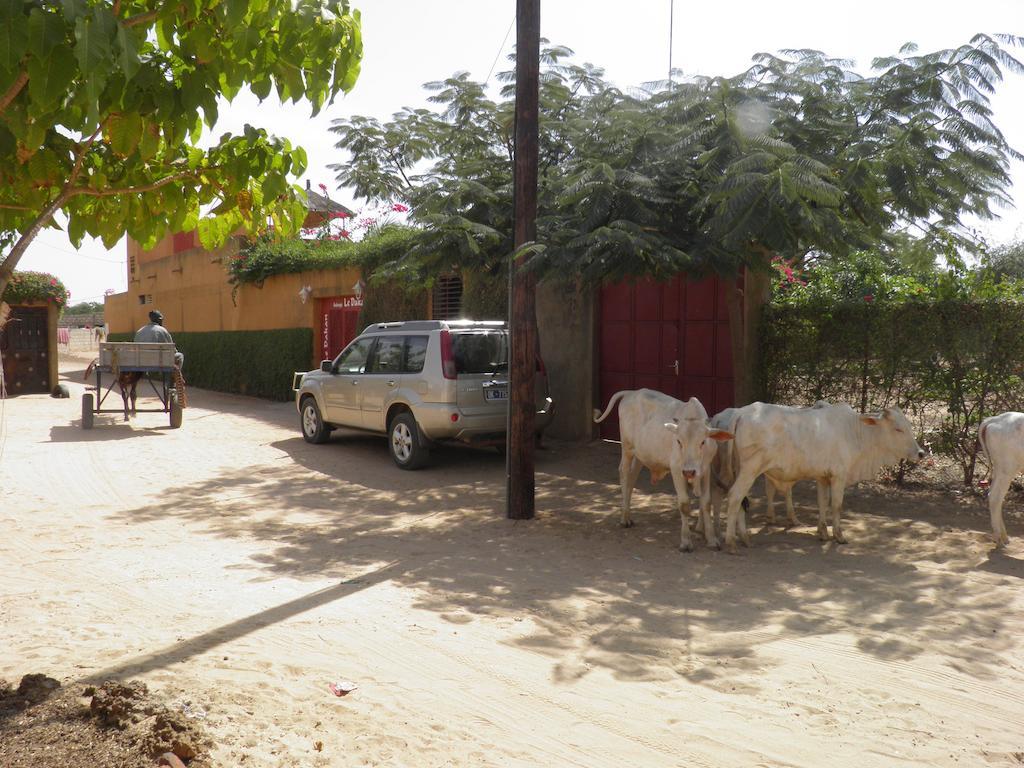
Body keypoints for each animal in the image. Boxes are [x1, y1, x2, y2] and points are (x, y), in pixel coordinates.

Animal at [593, 393, 737, 548]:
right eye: (679, 441)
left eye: (703, 442)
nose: (689, 472)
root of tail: (631, 393)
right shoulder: (677, 470)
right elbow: (684, 505)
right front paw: (686, 541)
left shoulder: (705, 470)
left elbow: (706, 503)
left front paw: (712, 539)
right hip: (627, 448)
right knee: (624, 474)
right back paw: (624, 518)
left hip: (640, 455)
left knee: (631, 479)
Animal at [716, 403, 925, 552]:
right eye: (898, 429)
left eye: (908, 426)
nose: (921, 453)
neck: (855, 433)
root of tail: (741, 412)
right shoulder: (839, 476)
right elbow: (836, 505)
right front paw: (839, 536)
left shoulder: (823, 477)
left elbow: (822, 502)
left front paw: (822, 532)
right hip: (750, 469)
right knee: (734, 497)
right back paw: (731, 542)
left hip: (740, 470)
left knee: (741, 501)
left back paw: (744, 538)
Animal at [970, 415, 1019, 548]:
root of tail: (991, 420)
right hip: (1007, 470)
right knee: (995, 497)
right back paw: (999, 539)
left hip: (999, 469)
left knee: (993, 496)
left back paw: (1004, 537)